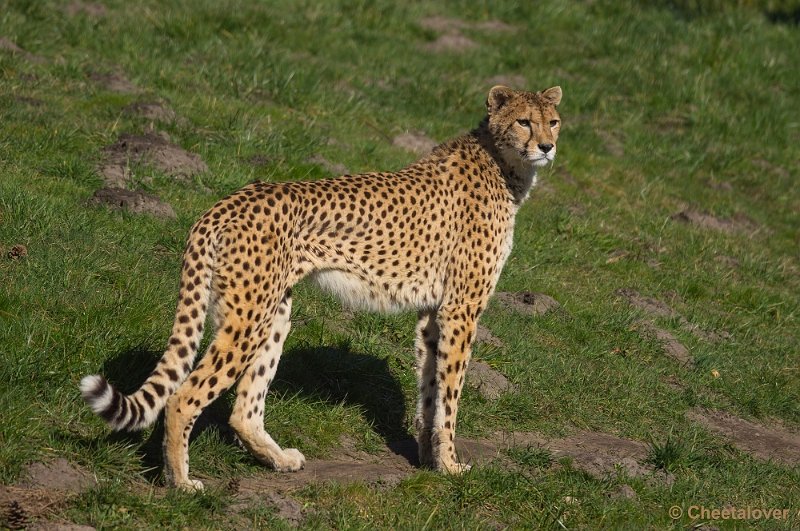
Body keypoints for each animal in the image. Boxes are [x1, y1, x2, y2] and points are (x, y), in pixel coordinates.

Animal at [79, 84, 564, 490]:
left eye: (554, 121)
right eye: (524, 121)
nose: (547, 146)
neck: (502, 162)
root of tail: (225, 203)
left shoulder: (433, 313)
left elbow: (430, 391)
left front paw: (429, 461)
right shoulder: (460, 309)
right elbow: (450, 396)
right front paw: (449, 466)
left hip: (274, 312)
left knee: (243, 407)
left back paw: (277, 460)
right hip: (248, 315)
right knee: (183, 396)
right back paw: (180, 483)